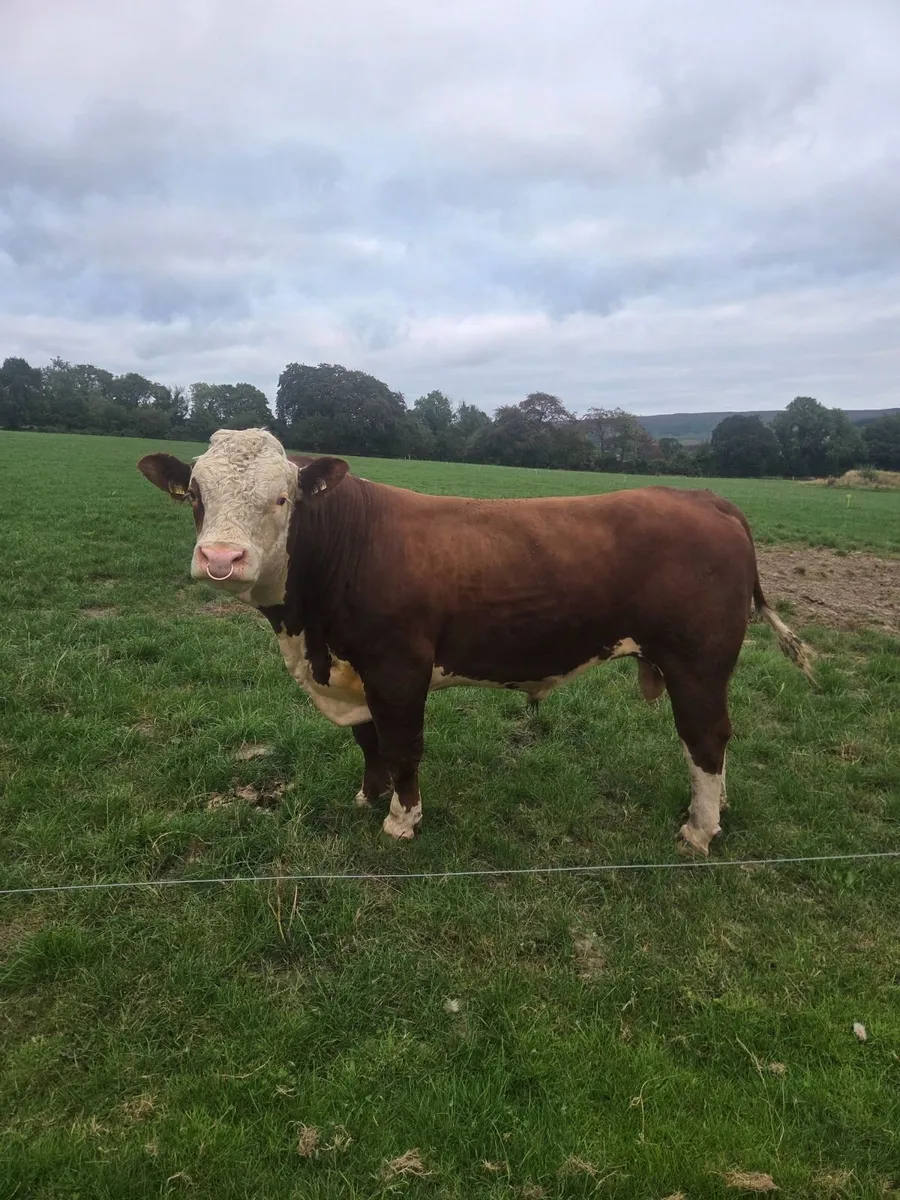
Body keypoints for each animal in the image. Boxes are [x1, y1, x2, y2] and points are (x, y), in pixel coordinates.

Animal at [137, 428, 812, 855]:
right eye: (196, 495)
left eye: (282, 498)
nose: (221, 560)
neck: (310, 636)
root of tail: (705, 497)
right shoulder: (357, 671)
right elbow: (369, 741)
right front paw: (368, 797)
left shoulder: (399, 667)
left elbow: (403, 745)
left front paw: (401, 820)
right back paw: (715, 815)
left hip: (698, 661)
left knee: (706, 737)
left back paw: (698, 830)